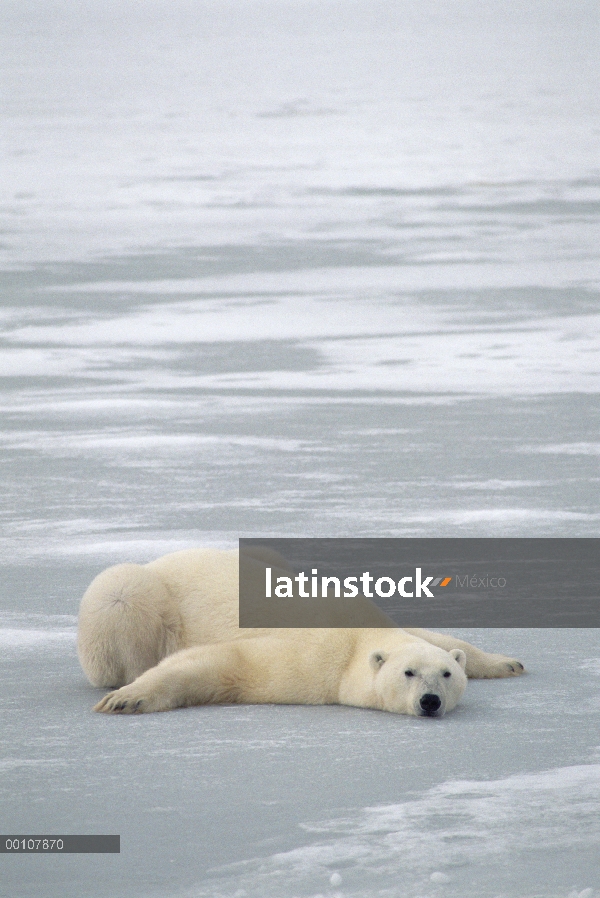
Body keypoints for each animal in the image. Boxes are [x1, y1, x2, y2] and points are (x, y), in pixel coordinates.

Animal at [79, 544, 524, 716]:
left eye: (447, 674)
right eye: (408, 673)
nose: (430, 701)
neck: (358, 636)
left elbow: (440, 637)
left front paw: (507, 663)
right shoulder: (313, 659)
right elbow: (226, 664)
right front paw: (127, 699)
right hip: (136, 597)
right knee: (121, 595)